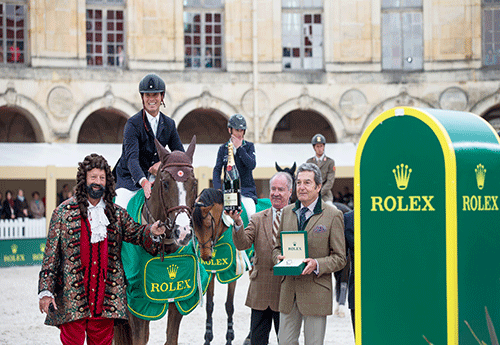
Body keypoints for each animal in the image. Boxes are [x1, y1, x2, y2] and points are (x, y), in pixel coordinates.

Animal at [114, 136, 198, 344]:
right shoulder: (136, 301)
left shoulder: (179, 297)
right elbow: (139, 338)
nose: (183, 232)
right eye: (165, 183)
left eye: (194, 182)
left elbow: (171, 337)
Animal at [192, 188, 237, 344]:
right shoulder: (211, 271)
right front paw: (207, 337)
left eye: (208, 225)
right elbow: (209, 305)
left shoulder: (233, 274)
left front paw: (229, 338)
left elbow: (229, 305)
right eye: (193, 228)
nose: (206, 257)